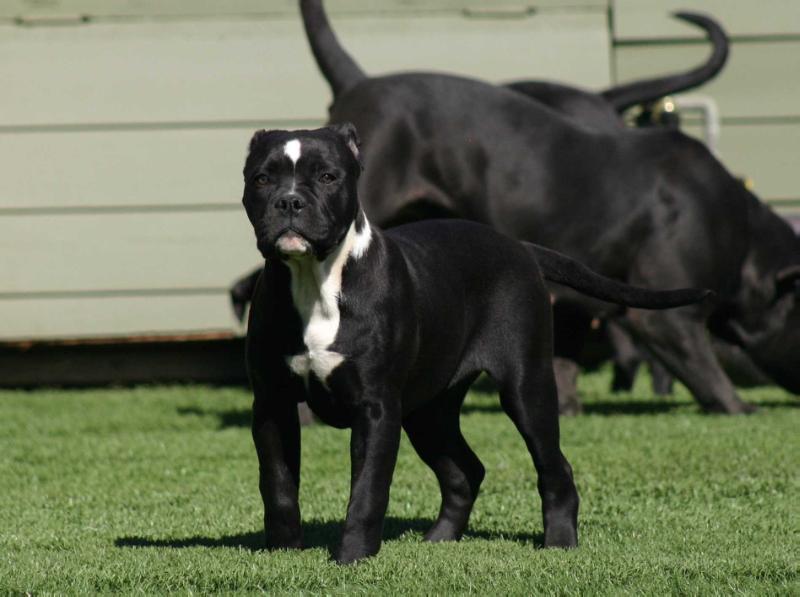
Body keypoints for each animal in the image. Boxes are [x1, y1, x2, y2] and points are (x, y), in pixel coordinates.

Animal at [241, 123, 708, 560]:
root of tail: (519, 247)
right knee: (465, 470)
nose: (289, 201)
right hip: (428, 413)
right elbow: (277, 484)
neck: (315, 282)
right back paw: (441, 539)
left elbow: (367, 491)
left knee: (554, 467)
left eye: (327, 176)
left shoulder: (375, 410)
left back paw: (559, 541)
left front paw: (352, 557)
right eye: (261, 178)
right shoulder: (273, 405)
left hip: (526, 389)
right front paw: (283, 553)